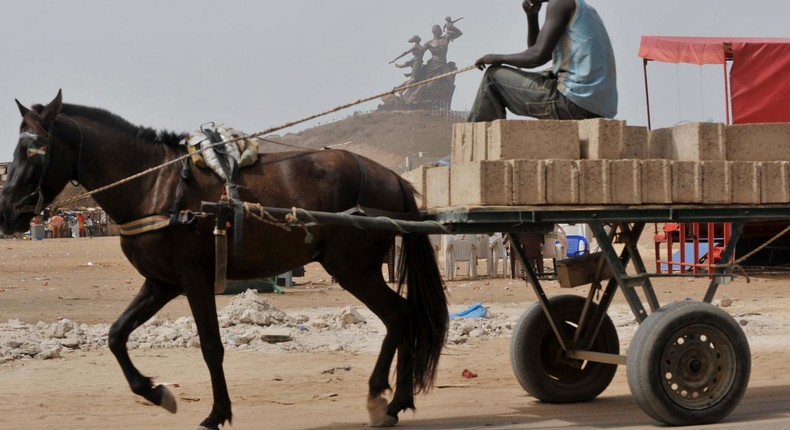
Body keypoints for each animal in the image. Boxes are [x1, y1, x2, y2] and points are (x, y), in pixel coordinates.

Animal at [0, 91, 448, 430]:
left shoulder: (194, 280)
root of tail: (393, 177)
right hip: (357, 269)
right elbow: (116, 335)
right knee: (403, 316)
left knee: (399, 315)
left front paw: (217, 413)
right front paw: (156, 392)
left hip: (353, 268)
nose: (8, 212)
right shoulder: (161, 283)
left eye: (33, 152)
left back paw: (384, 398)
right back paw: (394, 400)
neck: (153, 183)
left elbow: (211, 347)